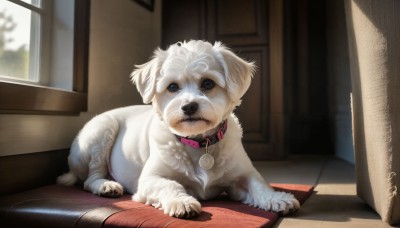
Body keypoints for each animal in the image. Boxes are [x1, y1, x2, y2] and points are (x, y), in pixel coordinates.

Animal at [57, 40, 300, 218]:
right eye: (172, 87)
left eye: (208, 83)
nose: (189, 106)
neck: (198, 143)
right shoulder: (150, 179)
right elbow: (170, 185)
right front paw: (181, 202)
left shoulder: (243, 175)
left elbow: (259, 185)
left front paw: (277, 198)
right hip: (102, 131)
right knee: (90, 179)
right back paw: (106, 185)